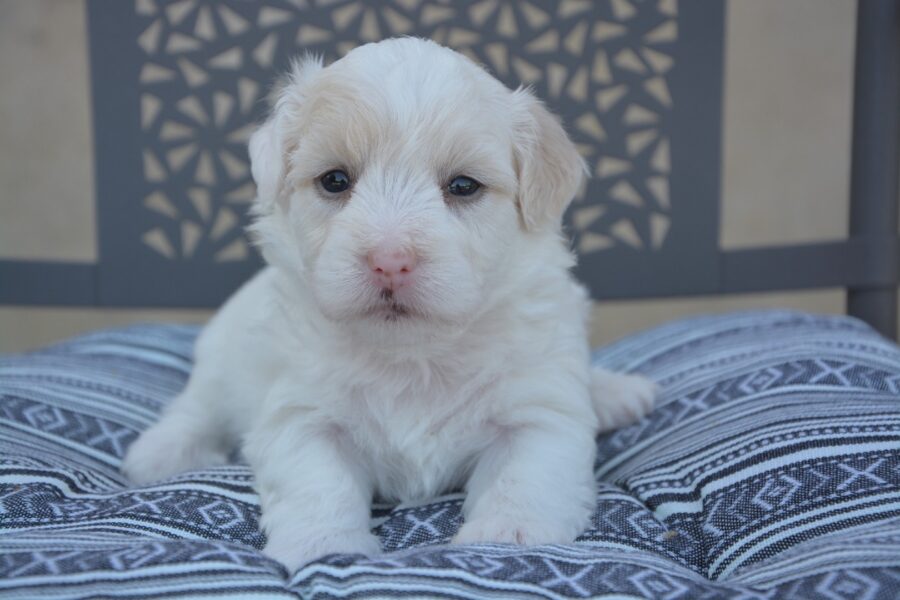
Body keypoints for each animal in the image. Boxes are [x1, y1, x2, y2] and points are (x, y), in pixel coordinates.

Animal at [121, 37, 652, 572]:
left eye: (464, 186)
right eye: (335, 180)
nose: (390, 261)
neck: (412, 357)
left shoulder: (539, 408)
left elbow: (525, 473)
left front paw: (509, 535)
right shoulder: (301, 413)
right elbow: (317, 482)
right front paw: (321, 544)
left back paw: (615, 394)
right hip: (223, 354)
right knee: (197, 406)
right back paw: (159, 453)